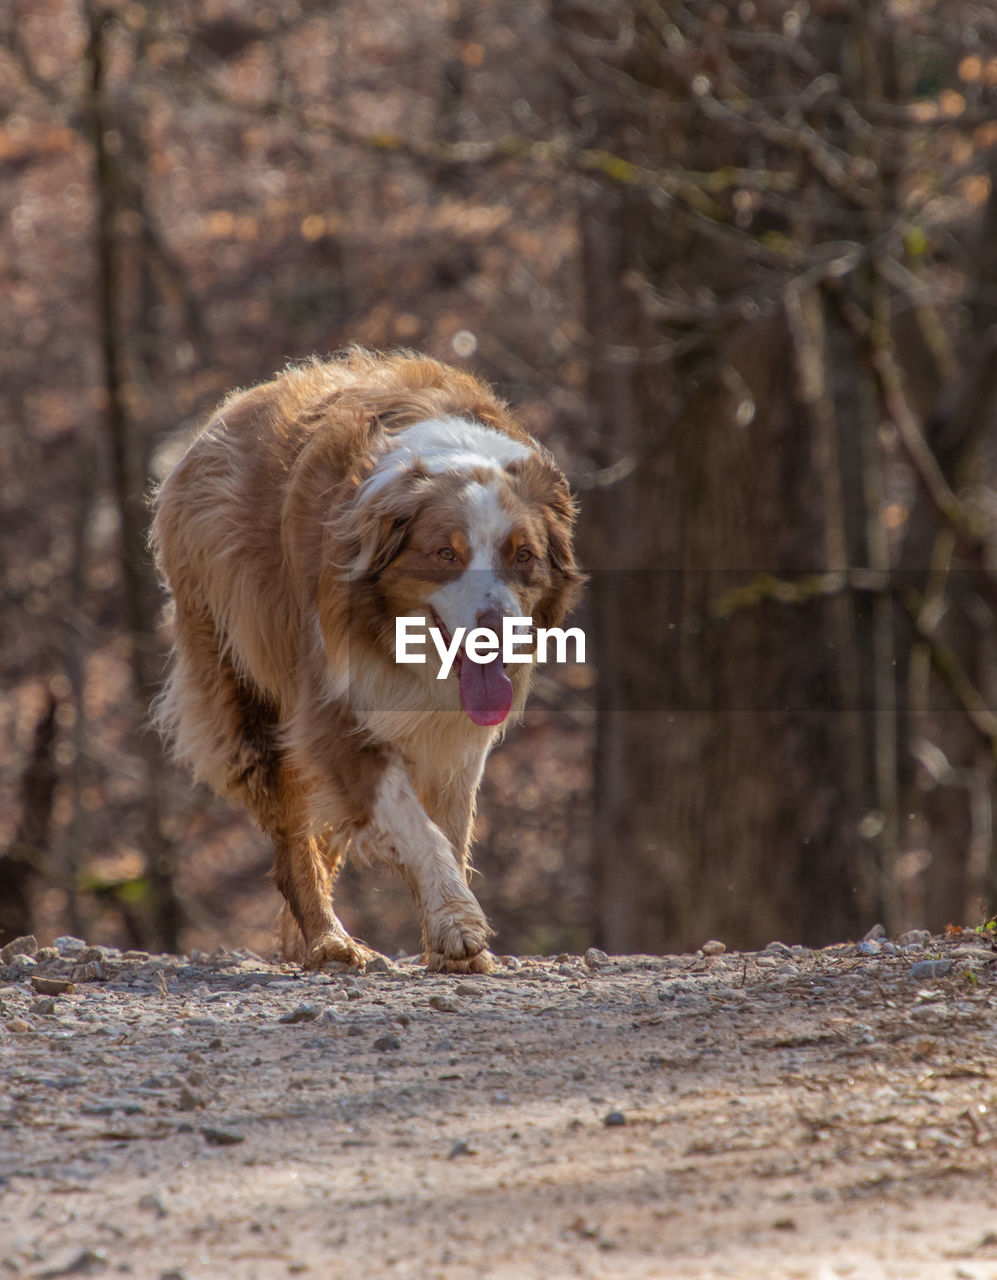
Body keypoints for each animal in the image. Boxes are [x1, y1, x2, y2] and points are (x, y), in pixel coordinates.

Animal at [151, 350, 581, 967]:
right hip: (241, 679)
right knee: (292, 830)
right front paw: (457, 925)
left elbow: (448, 823)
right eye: (446, 554)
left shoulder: (453, 737)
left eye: (522, 555)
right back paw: (327, 939)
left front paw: (452, 946)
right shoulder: (334, 702)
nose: (496, 630)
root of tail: (221, 416)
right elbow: (411, 821)